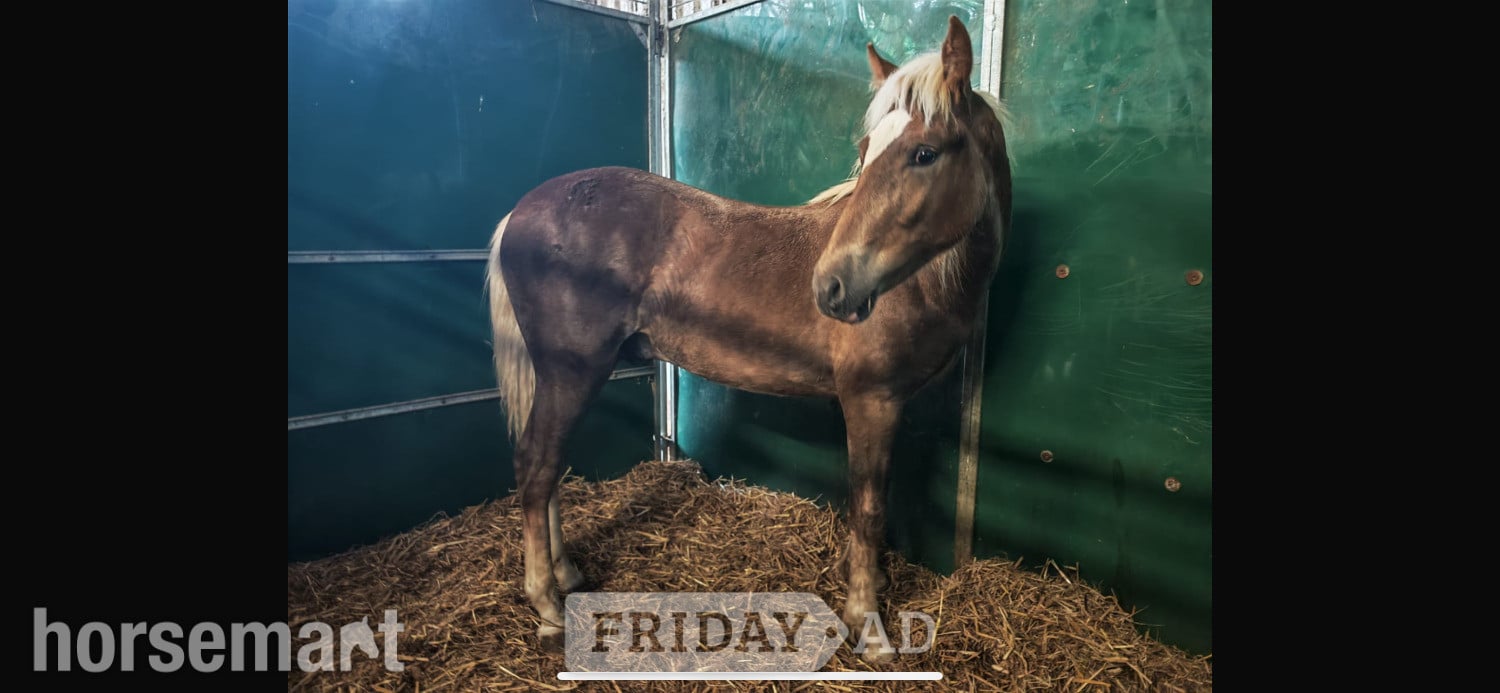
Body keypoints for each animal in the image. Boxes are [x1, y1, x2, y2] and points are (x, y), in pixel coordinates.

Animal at [485, 16, 1011, 661]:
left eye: (925, 152)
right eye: (868, 154)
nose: (831, 287)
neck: (919, 282)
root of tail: (520, 212)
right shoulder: (871, 400)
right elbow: (868, 505)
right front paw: (868, 623)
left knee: (550, 466)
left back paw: (566, 575)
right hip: (572, 369)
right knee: (537, 466)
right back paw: (546, 604)